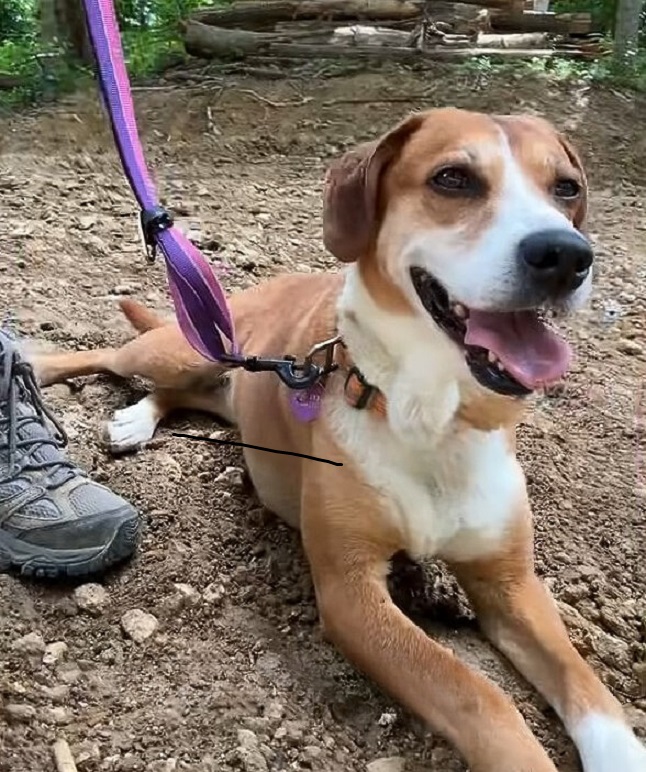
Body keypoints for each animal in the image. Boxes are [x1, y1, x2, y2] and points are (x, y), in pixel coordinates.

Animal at [34, 108, 646, 772]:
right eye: (453, 178)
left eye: (567, 188)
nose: (566, 255)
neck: (428, 411)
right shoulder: (349, 592)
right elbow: (478, 695)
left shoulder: (511, 584)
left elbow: (589, 687)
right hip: (178, 349)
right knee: (105, 356)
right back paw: (42, 370)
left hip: (216, 382)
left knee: (173, 394)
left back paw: (137, 419)